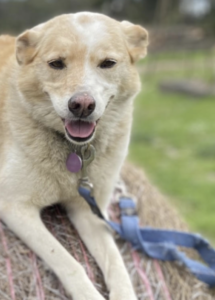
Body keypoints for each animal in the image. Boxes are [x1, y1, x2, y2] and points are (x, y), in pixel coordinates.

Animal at [0, 12, 148, 300]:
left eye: (108, 63)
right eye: (56, 63)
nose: (82, 105)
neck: (75, 152)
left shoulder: (90, 211)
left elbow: (118, 266)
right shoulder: (13, 205)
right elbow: (69, 262)